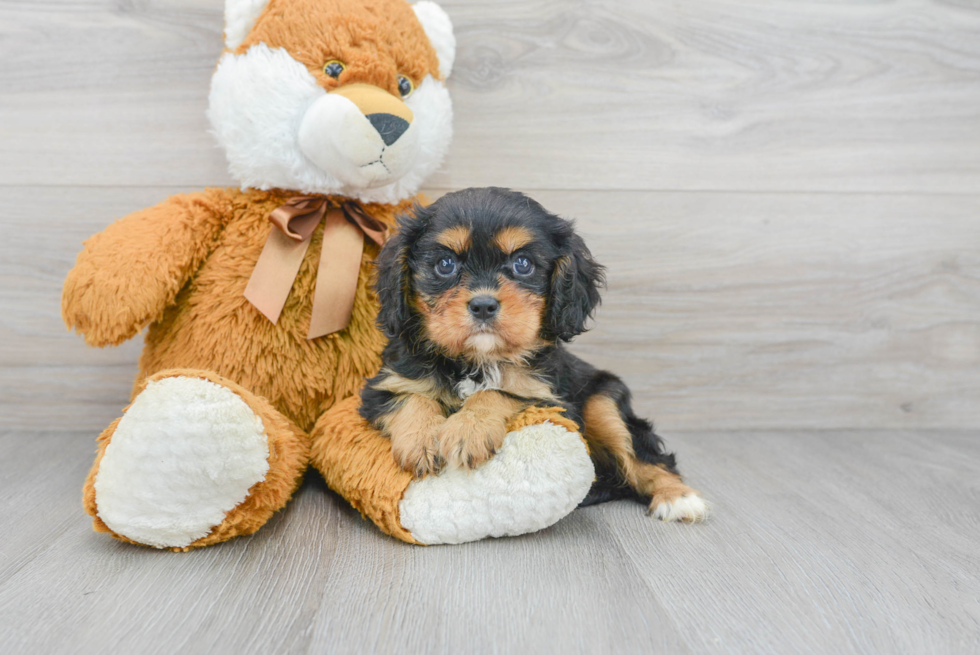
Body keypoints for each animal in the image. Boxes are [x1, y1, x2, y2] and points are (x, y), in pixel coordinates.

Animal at [360, 186, 704, 524]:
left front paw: (468, 430)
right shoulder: (382, 386)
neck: (477, 360)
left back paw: (678, 498)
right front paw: (423, 440)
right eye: (445, 265)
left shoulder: (548, 397)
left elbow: (500, 392)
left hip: (604, 400)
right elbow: (412, 398)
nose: (483, 305)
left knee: (646, 456)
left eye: (522, 264)